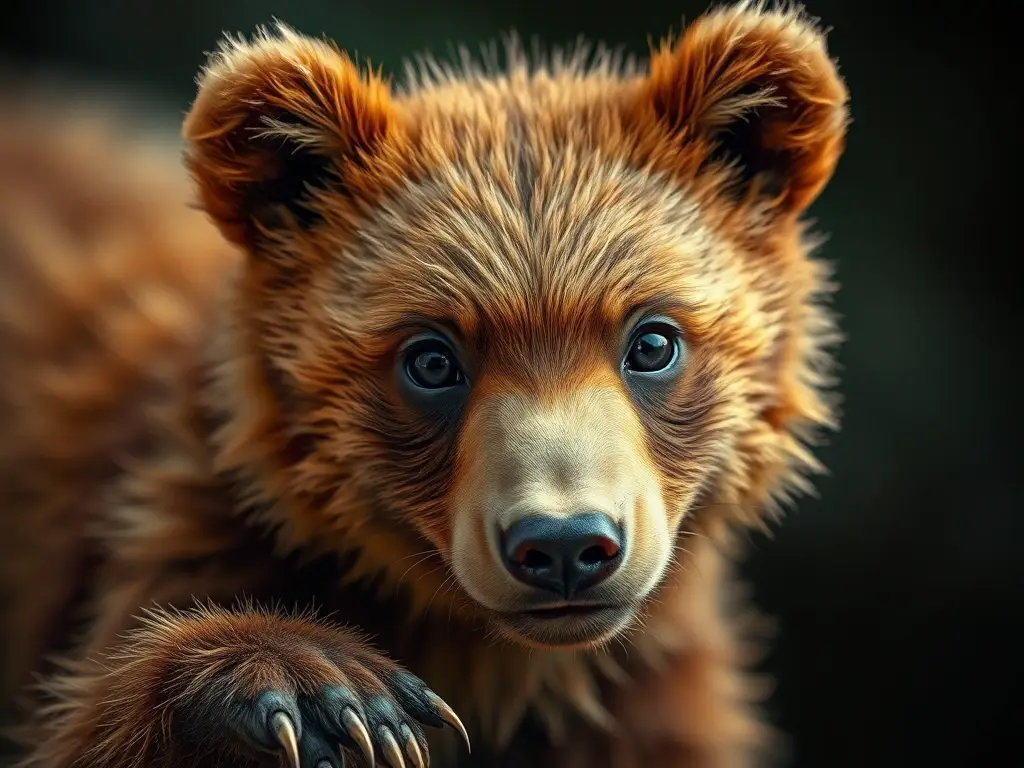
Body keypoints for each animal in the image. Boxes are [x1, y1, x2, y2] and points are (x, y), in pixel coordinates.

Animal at [0, 2, 849, 766]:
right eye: (432, 358)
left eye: (652, 341)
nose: (565, 544)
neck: (499, 666)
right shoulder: (156, 538)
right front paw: (327, 694)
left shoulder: (645, 698)